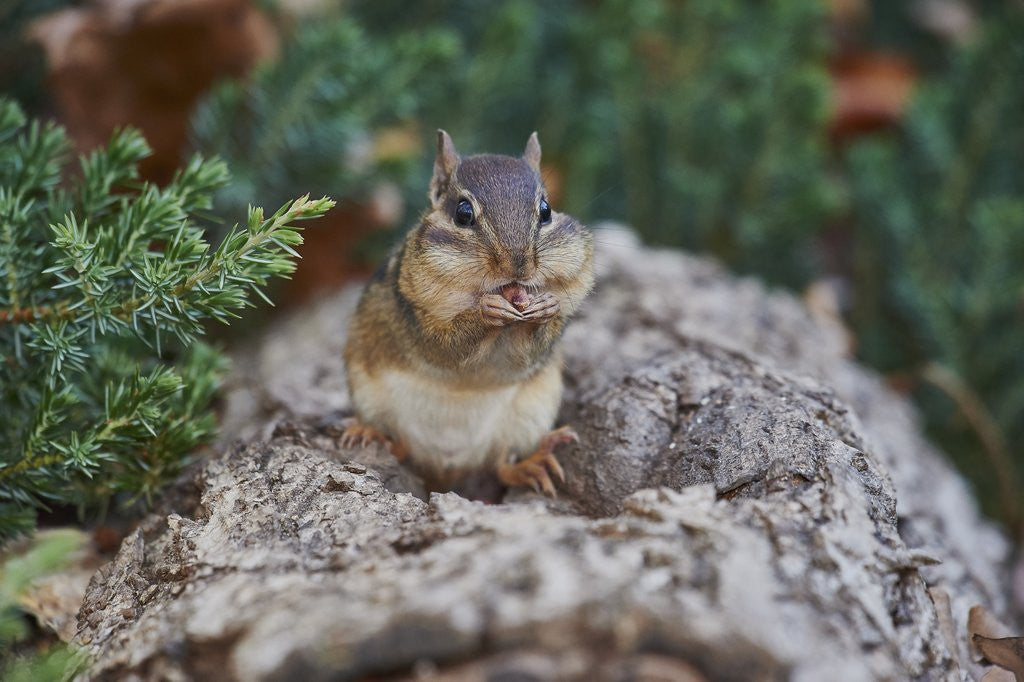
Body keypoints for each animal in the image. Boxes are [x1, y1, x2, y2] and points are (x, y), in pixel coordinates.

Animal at [341, 130, 594, 496]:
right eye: (463, 213)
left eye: (546, 211)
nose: (519, 265)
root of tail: (450, 467)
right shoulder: (415, 319)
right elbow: (445, 346)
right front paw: (485, 311)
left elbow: (530, 351)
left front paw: (547, 307)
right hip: (372, 399)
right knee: (400, 447)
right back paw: (372, 434)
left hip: (527, 418)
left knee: (502, 467)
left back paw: (535, 461)